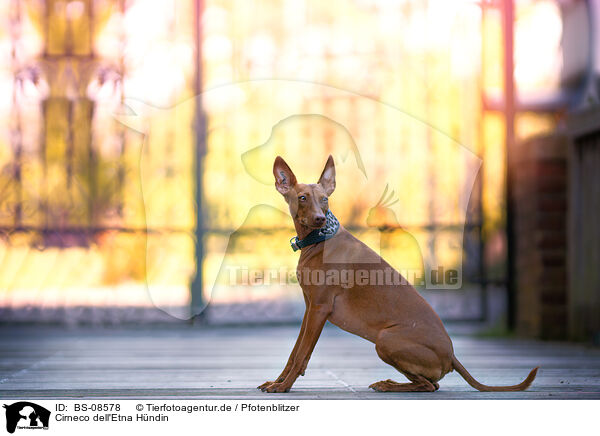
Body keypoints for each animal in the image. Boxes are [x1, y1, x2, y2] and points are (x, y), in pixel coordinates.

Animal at [258, 155, 540, 394]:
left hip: (385, 339)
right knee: (430, 384)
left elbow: (301, 353)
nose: (319, 218)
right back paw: (391, 382)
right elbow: (295, 352)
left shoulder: (320, 308)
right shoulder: (310, 308)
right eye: (303, 198)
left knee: (429, 386)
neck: (320, 240)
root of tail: (452, 357)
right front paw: (278, 381)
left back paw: (388, 385)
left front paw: (283, 387)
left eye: (325, 199)